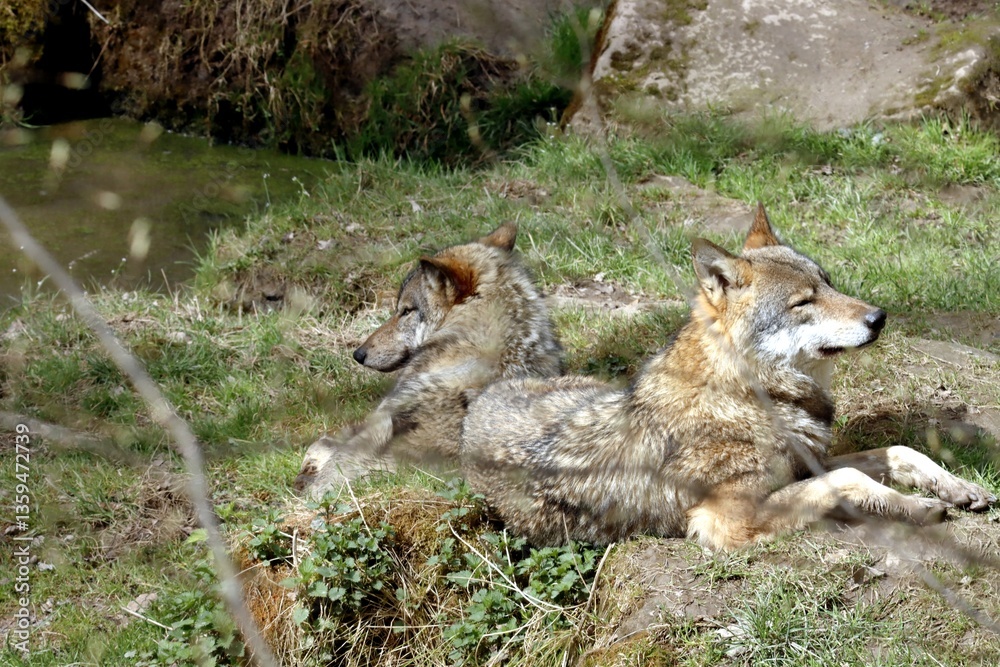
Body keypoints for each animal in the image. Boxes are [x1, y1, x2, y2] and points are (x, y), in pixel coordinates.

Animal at [461, 204, 996, 550]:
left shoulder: (810, 463)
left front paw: (956, 487)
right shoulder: (724, 521)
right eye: (803, 302)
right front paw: (918, 508)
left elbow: (899, 451)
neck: (751, 397)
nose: (880, 317)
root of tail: (485, 395)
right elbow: (848, 478)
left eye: (828, 283)